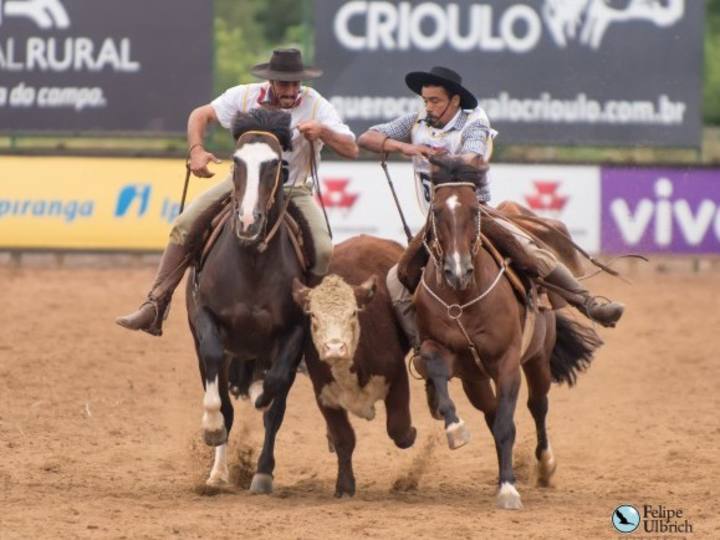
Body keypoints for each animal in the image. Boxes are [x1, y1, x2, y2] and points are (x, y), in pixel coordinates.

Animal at [186, 108, 306, 494]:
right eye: (236, 161)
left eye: (275, 165)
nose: (249, 222)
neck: (252, 262)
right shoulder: (207, 319)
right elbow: (220, 401)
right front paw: (212, 431)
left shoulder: (294, 332)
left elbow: (275, 396)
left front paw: (263, 471)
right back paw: (218, 473)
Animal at [292, 236, 416, 498]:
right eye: (314, 316)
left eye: (352, 314)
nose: (334, 348)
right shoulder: (324, 395)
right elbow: (344, 439)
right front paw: (345, 486)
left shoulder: (397, 376)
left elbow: (398, 429)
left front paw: (411, 433)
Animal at [410, 157, 600, 510]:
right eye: (437, 211)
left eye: (474, 210)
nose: (457, 271)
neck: (462, 298)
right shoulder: (446, 353)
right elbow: (438, 368)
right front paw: (455, 429)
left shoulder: (507, 363)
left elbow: (506, 425)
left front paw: (509, 488)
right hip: (475, 380)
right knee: (492, 412)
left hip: (537, 360)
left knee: (537, 405)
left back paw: (545, 465)